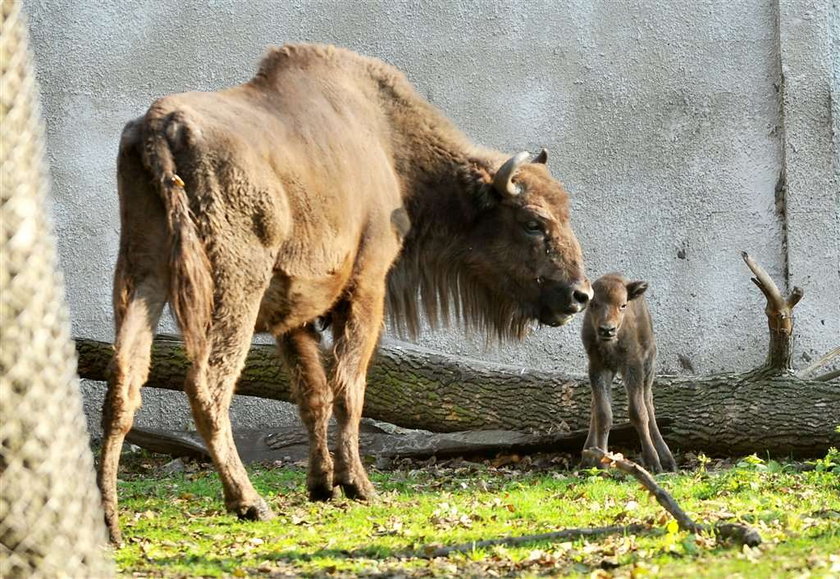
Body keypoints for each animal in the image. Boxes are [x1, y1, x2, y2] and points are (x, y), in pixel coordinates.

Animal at [98, 42, 592, 544]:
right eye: (533, 222)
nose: (580, 295)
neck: (390, 148)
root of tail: (161, 124)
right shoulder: (366, 288)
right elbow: (348, 389)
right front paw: (358, 485)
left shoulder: (295, 315)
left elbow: (312, 395)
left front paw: (322, 486)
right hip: (234, 289)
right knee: (207, 385)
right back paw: (250, 503)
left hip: (142, 276)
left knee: (123, 382)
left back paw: (110, 522)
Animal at [584, 274, 676, 474]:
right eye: (593, 304)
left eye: (623, 305)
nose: (607, 330)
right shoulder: (598, 367)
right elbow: (603, 413)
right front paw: (601, 462)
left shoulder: (633, 366)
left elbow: (638, 412)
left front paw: (653, 462)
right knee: (596, 405)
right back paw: (586, 453)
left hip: (649, 365)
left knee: (648, 402)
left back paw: (667, 459)